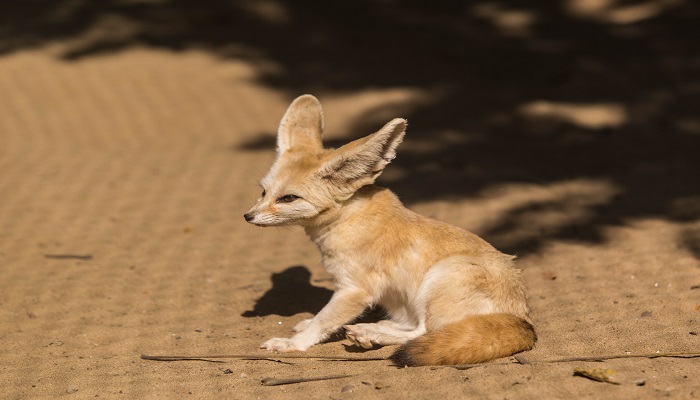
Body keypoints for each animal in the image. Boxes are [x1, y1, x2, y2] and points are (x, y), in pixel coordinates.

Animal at [245, 94, 536, 366]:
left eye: (289, 198)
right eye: (263, 192)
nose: (248, 216)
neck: (347, 218)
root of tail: (523, 320)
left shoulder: (354, 290)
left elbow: (323, 321)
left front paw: (292, 343)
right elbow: (321, 317)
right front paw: (308, 325)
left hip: (440, 277)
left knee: (423, 331)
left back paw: (372, 335)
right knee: (414, 327)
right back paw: (373, 328)